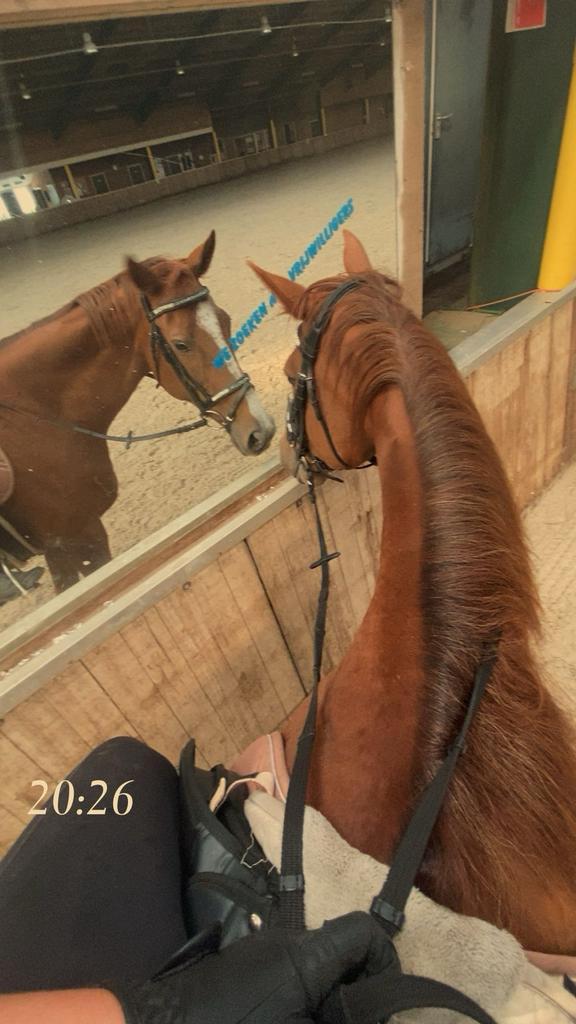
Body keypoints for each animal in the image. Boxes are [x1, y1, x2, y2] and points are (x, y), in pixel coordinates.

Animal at [0, 231, 275, 593]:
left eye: (225, 321)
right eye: (181, 344)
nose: (260, 430)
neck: (37, 414)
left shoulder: (70, 539)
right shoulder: (73, 538)